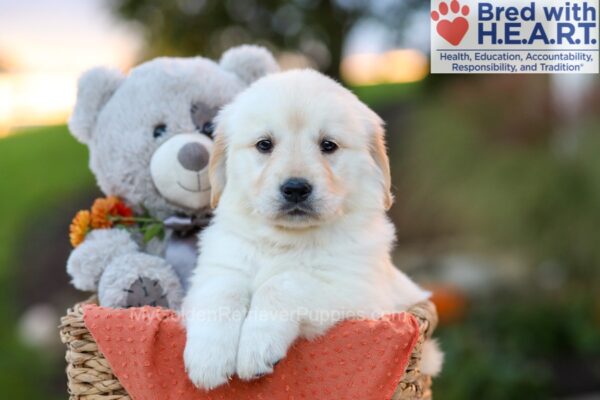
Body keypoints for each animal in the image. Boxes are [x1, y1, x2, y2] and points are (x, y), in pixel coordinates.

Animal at [183, 69, 440, 390]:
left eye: (328, 145)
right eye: (264, 145)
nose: (295, 188)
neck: (285, 240)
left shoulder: (354, 289)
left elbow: (283, 284)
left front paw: (256, 347)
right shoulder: (216, 269)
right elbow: (221, 291)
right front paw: (207, 358)